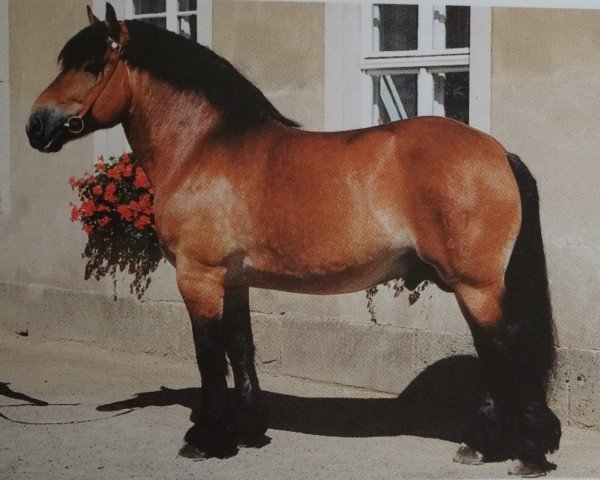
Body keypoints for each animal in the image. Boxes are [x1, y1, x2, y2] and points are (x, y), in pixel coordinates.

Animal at [27, 3, 564, 476]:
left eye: (93, 66)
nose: (36, 125)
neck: (203, 147)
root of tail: (497, 152)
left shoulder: (198, 278)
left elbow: (208, 355)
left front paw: (207, 439)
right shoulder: (233, 280)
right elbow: (240, 348)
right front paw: (248, 430)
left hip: (476, 285)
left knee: (509, 350)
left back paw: (528, 454)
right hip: (471, 287)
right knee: (492, 353)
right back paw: (482, 446)